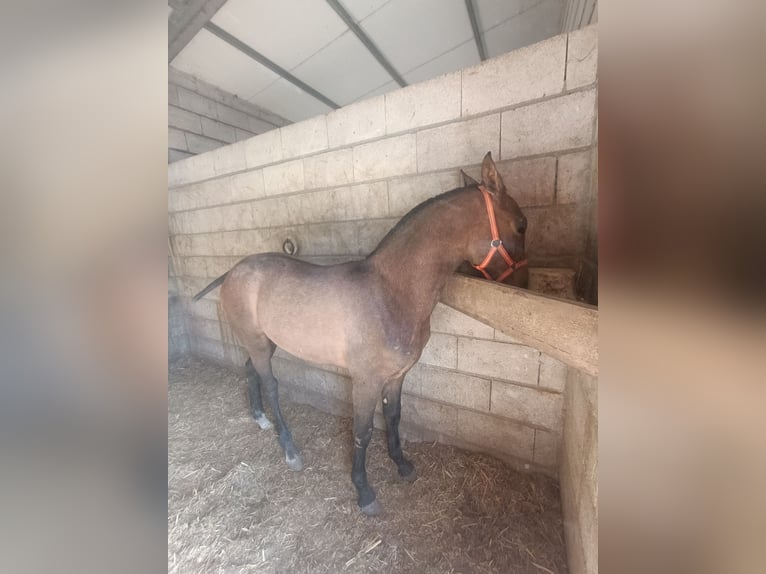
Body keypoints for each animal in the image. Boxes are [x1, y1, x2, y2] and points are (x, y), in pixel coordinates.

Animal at [192, 152, 528, 516]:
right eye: (521, 224)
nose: (525, 285)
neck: (391, 292)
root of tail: (233, 271)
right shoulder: (366, 381)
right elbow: (363, 431)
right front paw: (364, 491)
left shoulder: (396, 376)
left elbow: (393, 417)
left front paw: (402, 465)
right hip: (258, 343)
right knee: (270, 385)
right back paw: (290, 449)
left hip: (264, 344)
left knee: (250, 371)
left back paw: (260, 419)